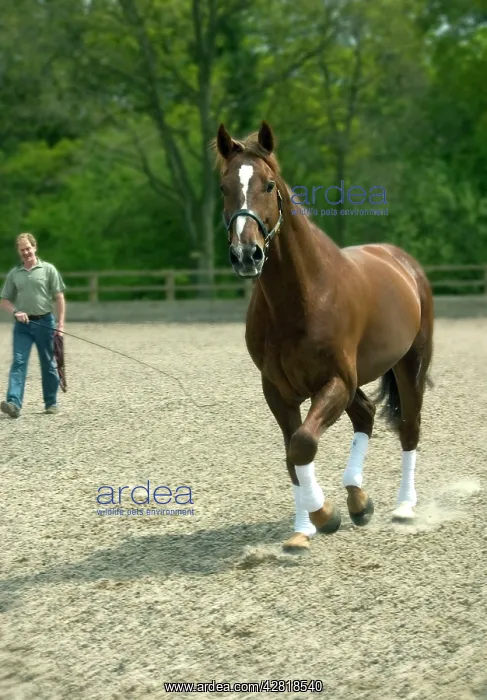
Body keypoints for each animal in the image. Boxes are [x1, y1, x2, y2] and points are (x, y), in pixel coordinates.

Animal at [213, 121, 434, 554]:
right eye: (225, 187)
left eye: (268, 185)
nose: (246, 255)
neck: (305, 296)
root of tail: (402, 261)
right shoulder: (277, 389)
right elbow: (291, 455)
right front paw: (304, 529)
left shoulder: (336, 381)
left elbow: (303, 444)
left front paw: (324, 515)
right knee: (365, 415)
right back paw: (358, 501)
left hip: (411, 363)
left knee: (409, 428)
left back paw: (403, 507)